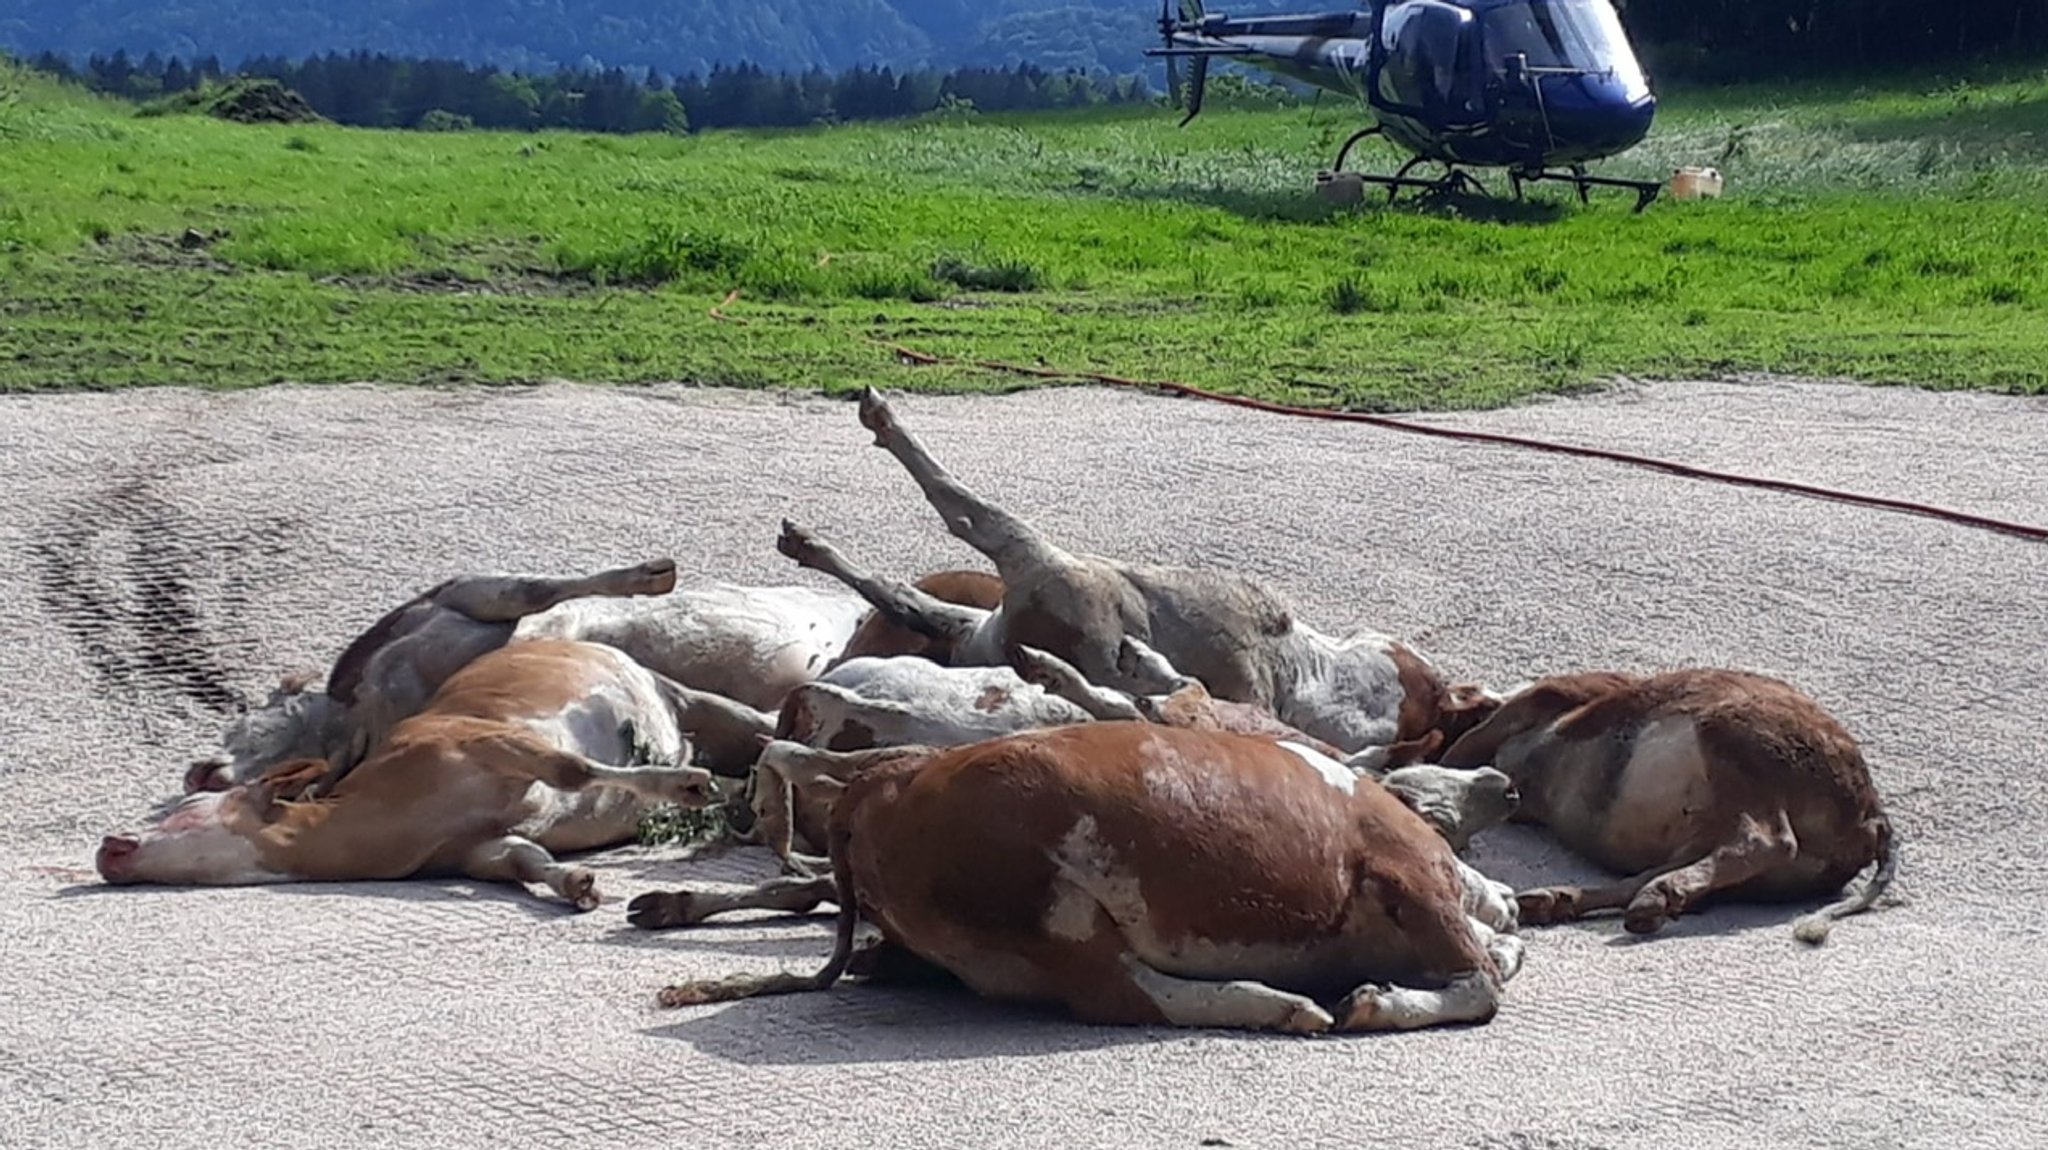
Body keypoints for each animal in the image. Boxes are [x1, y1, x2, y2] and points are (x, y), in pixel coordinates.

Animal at [105, 634, 729, 904]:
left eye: (189, 808)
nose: (110, 843)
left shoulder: (489, 740)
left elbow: (570, 770)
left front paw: (683, 786)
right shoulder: (473, 848)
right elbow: (522, 858)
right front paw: (574, 882)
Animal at [651, 716, 1523, 1031]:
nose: (1513, 900)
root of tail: (883, 788)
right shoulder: (1410, 875)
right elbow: (1481, 983)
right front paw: (1378, 1000)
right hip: (1051, 909)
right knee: (1125, 994)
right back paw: (1289, 1007)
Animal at [774, 386, 1499, 761]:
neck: (1308, 676)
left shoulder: (1048, 574)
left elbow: (960, 512)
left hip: (1034, 564)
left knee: (961, 513)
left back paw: (879, 428)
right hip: (993, 605)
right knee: (902, 589)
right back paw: (812, 543)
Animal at [1433, 662, 1892, 941]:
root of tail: (1872, 816)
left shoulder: (1547, 697)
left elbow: (1462, 746)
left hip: (1736, 741)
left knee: (1769, 839)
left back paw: (1649, 897)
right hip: (1710, 827)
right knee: (1654, 875)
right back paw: (1564, 901)